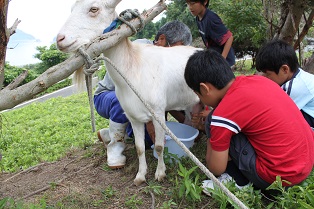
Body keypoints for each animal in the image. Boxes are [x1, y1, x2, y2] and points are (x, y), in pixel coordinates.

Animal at [56, 0, 199, 186]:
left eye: (94, 9)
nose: (60, 39)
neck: (134, 66)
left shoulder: (158, 112)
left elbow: (159, 146)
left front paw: (160, 173)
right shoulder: (133, 116)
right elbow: (139, 148)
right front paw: (140, 176)